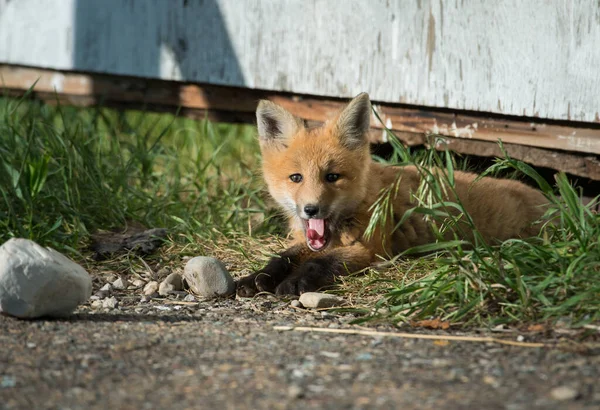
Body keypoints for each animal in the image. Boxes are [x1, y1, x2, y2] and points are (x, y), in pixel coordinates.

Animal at [236, 93, 548, 294]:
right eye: (296, 178)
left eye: (332, 177)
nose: (311, 209)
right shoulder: (308, 241)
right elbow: (283, 257)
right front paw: (258, 277)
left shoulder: (372, 249)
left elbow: (319, 262)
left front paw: (294, 282)